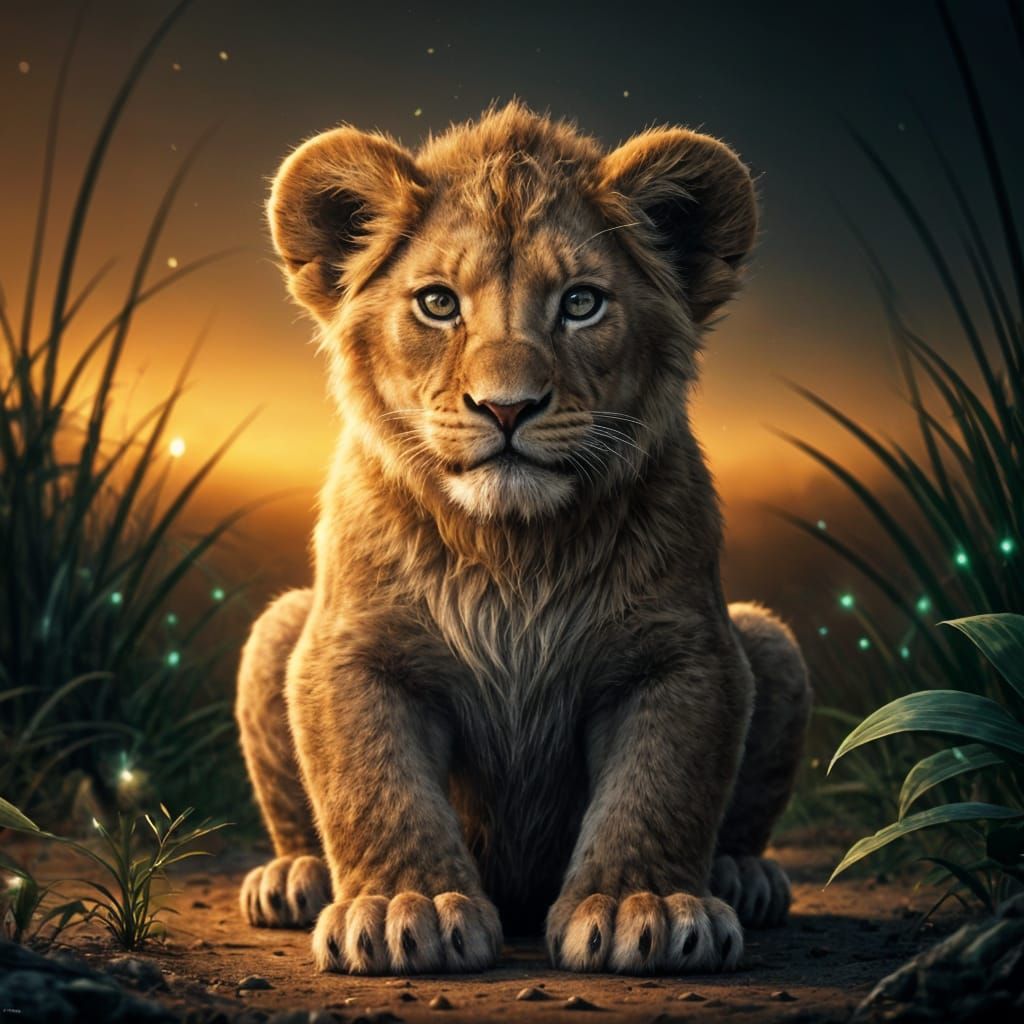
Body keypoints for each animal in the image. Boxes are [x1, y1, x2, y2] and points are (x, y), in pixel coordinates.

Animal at [235, 101, 811, 976]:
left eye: (581, 303)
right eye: (438, 304)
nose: (506, 407)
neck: (511, 550)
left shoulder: (685, 654)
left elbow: (660, 788)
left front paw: (643, 905)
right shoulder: (351, 653)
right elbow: (377, 788)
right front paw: (405, 908)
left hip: (771, 641)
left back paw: (744, 877)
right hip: (275, 629)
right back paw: (294, 876)